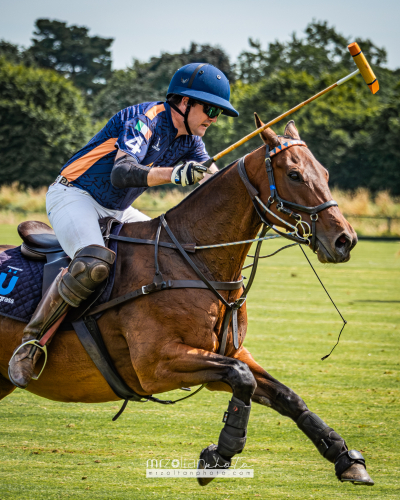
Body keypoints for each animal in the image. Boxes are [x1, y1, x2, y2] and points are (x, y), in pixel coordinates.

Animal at [0, 117, 372, 484]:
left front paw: (346, 459)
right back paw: (25, 358)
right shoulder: (156, 365)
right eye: (294, 174)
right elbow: (243, 378)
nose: (345, 240)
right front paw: (220, 453)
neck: (193, 259)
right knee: (92, 264)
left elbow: (286, 395)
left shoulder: (227, 353)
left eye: (324, 173)